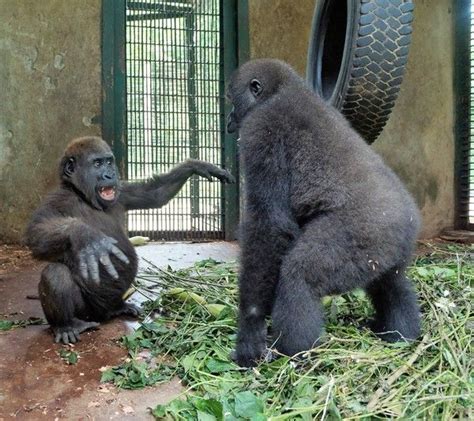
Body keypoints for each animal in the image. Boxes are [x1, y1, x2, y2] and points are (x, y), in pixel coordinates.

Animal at [25, 136, 233, 342]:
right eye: (97, 163)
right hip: (87, 312)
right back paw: (66, 325)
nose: (109, 175)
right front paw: (85, 235)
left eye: (109, 162)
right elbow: (37, 233)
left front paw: (197, 165)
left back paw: (119, 307)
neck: (83, 197)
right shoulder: (58, 200)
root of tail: (103, 315)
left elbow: (153, 194)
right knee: (55, 273)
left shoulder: (122, 192)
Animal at [227, 57, 422, 366]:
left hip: (363, 235)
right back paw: (401, 333)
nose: (229, 120)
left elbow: (270, 227)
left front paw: (250, 330)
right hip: (390, 246)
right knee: (391, 282)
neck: (282, 89)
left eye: (230, 99)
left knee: (300, 276)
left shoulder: (260, 131)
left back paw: (296, 352)